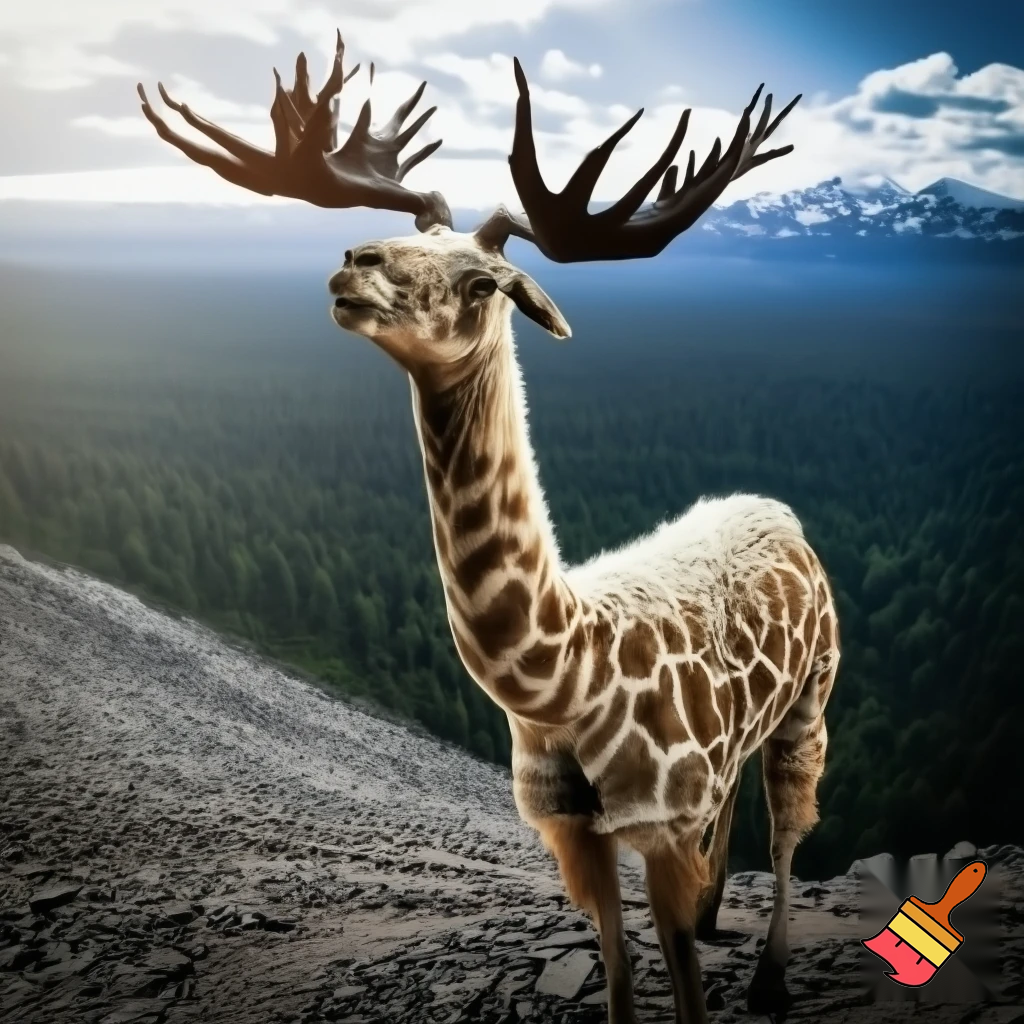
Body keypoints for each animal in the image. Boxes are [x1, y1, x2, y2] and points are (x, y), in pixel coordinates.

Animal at [138, 31, 839, 1023]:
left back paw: (772, 974)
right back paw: (717, 917)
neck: (568, 681)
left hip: (814, 693)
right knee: (740, 800)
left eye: (480, 281)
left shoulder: (659, 819)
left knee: (789, 819)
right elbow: (617, 970)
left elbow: (685, 987)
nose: (352, 261)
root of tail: (776, 512)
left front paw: (718, 965)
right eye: (407, 238)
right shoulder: (569, 827)